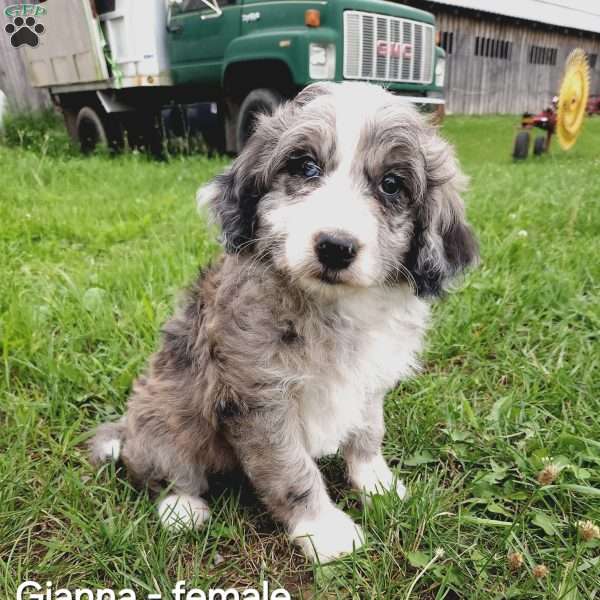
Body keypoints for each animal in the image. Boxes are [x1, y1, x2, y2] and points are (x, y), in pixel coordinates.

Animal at [89, 82, 476, 564]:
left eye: (392, 184)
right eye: (305, 166)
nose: (335, 247)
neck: (332, 308)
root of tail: (127, 429)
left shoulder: (369, 381)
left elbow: (368, 434)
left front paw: (377, 485)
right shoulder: (257, 399)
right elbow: (290, 468)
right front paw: (324, 530)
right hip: (163, 418)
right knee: (161, 470)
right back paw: (181, 508)